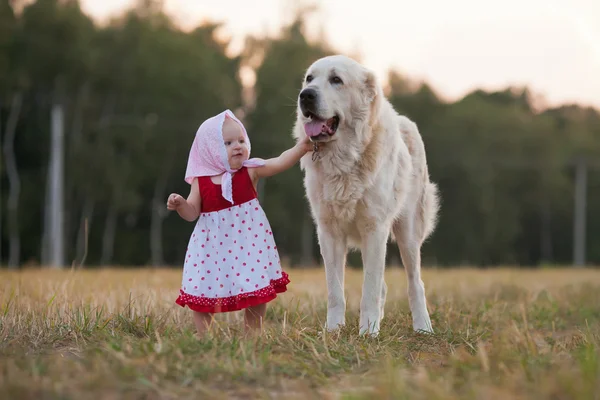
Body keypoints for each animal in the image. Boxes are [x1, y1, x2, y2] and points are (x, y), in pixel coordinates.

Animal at [292, 54, 438, 336]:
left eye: (336, 80)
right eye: (309, 78)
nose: (305, 95)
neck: (345, 160)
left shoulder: (375, 228)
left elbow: (369, 288)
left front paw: (368, 333)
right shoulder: (328, 232)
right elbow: (335, 290)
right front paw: (333, 331)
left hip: (408, 233)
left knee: (415, 283)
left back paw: (423, 327)